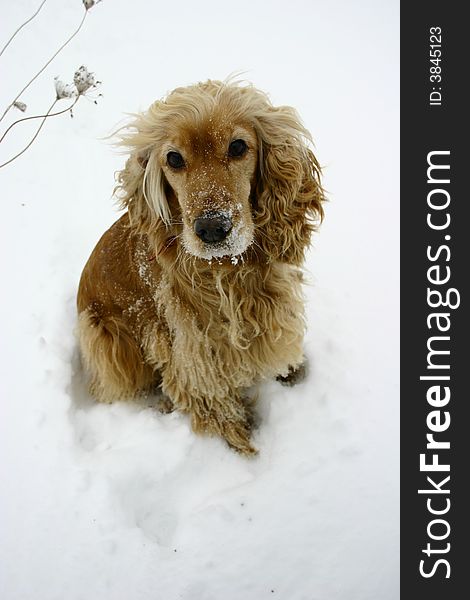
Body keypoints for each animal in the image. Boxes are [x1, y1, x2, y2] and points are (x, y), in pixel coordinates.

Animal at [77, 81, 324, 454]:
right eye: (173, 158)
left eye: (238, 146)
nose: (212, 228)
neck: (230, 271)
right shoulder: (196, 352)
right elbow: (219, 409)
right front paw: (245, 449)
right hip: (103, 334)